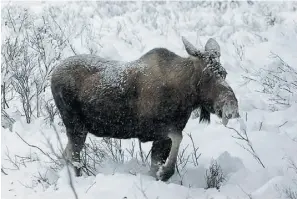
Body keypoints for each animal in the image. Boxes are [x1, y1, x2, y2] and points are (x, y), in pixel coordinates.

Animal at [51, 36, 239, 181]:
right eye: (206, 74)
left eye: (224, 73)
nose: (232, 108)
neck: (186, 96)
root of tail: (53, 73)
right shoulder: (155, 129)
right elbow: (177, 139)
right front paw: (165, 172)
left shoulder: (163, 137)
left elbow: (157, 162)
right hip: (76, 126)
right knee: (72, 156)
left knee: (66, 154)